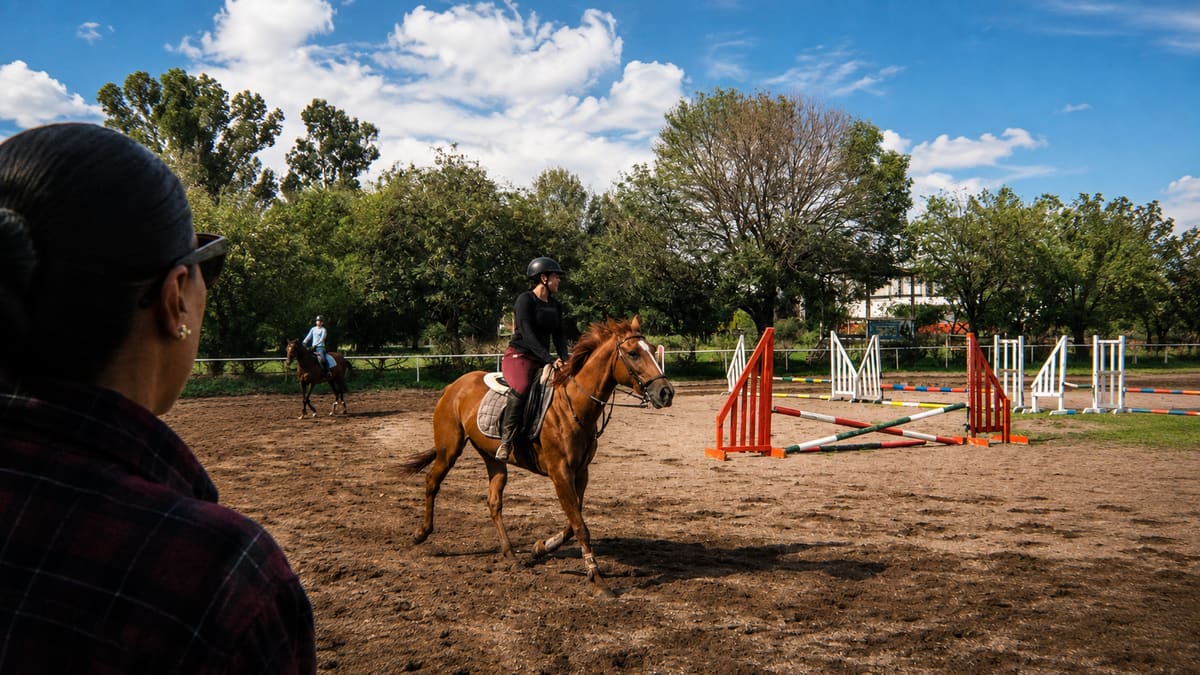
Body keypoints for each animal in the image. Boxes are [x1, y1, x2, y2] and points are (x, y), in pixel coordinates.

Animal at [398, 316, 675, 597]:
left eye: (653, 349)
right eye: (633, 353)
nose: (666, 392)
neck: (572, 405)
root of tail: (454, 386)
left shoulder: (580, 473)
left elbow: (573, 522)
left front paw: (541, 547)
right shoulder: (560, 473)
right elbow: (580, 526)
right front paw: (597, 578)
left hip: (493, 458)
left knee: (494, 502)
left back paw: (510, 554)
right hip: (449, 449)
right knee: (432, 483)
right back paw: (421, 533)